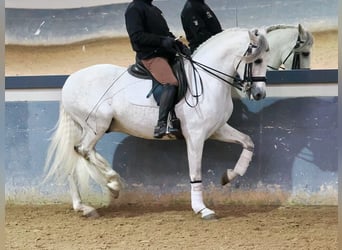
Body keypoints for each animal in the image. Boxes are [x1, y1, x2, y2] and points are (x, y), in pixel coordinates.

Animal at [44, 27, 270, 219]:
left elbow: (248, 142)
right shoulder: (195, 136)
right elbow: (195, 171)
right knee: (83, 150)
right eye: (257, 60)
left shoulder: (218, 129)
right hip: (97, 125)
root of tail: (70, 80)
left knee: (75, 160)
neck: (207, 80)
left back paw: (84, 206)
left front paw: (230, 176)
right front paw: (202, 209)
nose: (259, 94)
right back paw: (113, 184)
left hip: (88, 128)